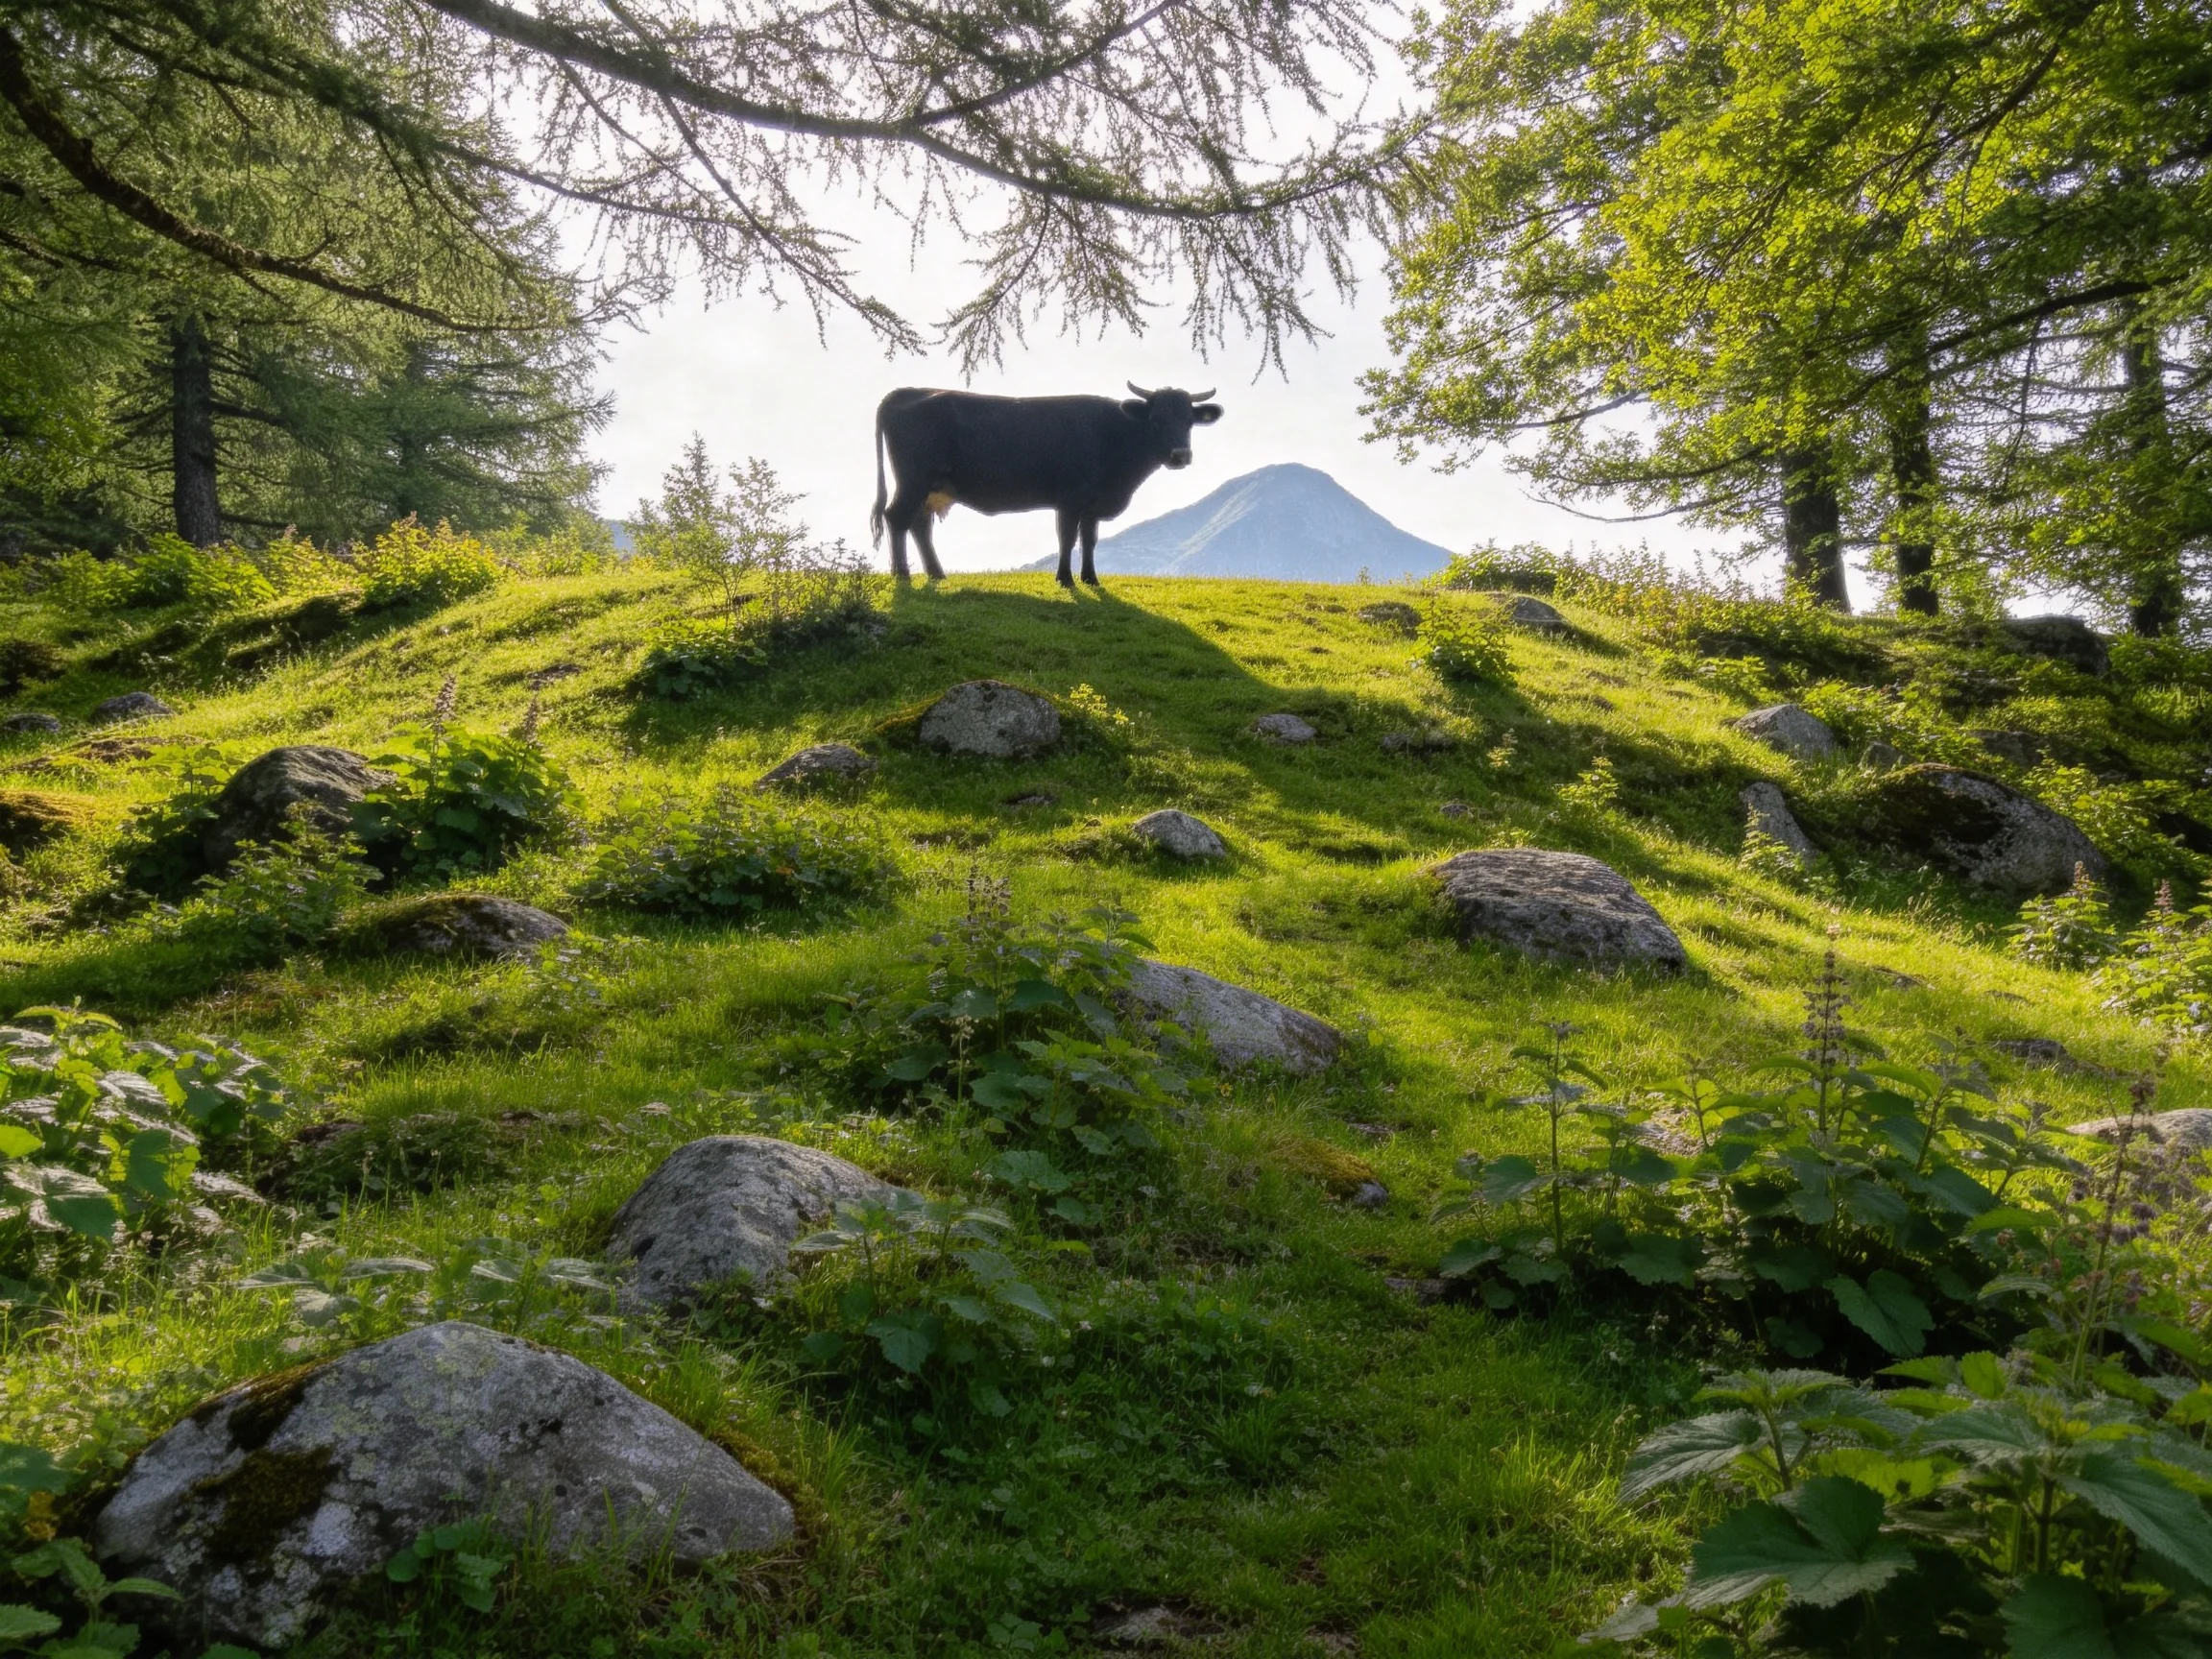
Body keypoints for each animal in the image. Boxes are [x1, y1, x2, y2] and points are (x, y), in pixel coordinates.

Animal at [870, 383, 1223, 586]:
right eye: (1156, 421)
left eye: (1189, 422)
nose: (1180, 455)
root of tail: (908, 391)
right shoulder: (1070, 499)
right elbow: (1067, 538)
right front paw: (1065, 579)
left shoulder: (1092, 504)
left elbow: (1089, 540)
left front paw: (1091, 579)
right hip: (914, 480)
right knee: (897, 518)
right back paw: (902, 574)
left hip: (930, 488)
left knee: (919, 525)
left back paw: (936, 573)